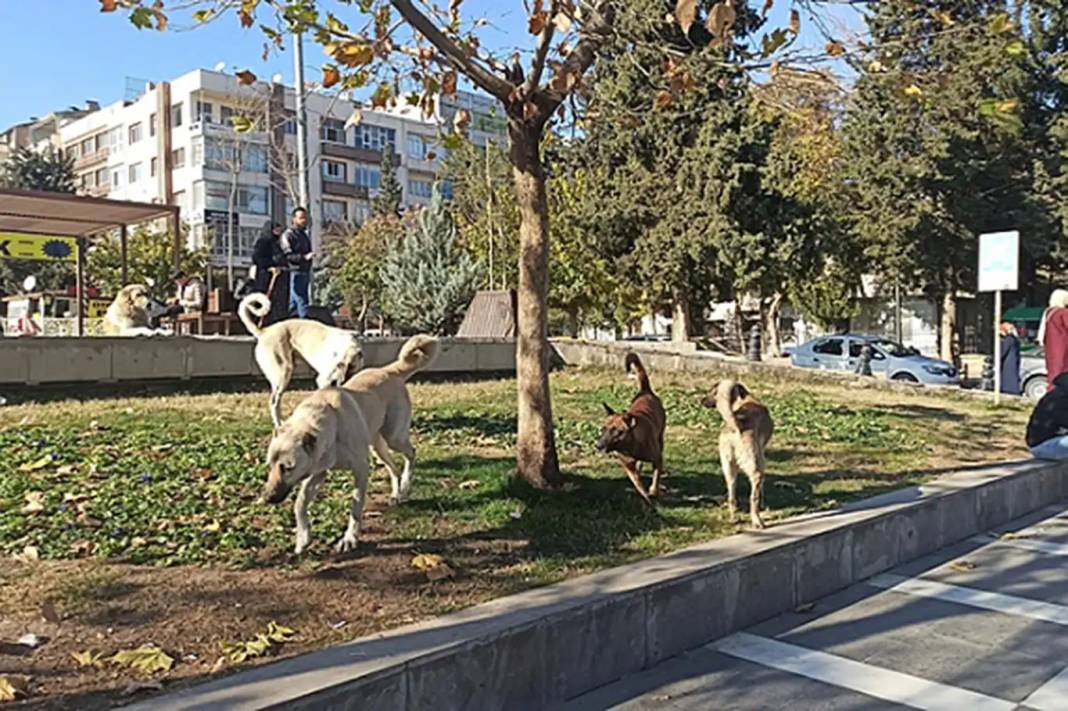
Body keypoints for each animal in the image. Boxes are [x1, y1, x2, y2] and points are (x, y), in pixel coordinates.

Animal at [237, 292, 363, 429]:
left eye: (348, 365)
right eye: (338, 364)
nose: (333, 382)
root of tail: (264, 331)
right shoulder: (324, 381)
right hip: (283, 373)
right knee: (274, 402)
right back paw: (279, 425)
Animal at [343, 333, 440, 503]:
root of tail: (389, 370)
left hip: (393, 437)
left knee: (411, 453)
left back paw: (405, 487)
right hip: (379, 446)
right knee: (394, 470)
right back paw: (396, 493)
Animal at [598, 352, 662, 501]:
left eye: (617, 431)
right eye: (603, 429)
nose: (598, 446)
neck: (630, 446)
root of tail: (645, 391)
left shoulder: (657, 459)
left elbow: (656, 476)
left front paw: (653, 491)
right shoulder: (628, 467)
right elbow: (638, 484)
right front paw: (645, 497)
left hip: (661, 436)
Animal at [700, 375, 777, 525]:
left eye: (713, 392)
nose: (702, 400)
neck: (744, 400)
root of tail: (735, 426)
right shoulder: (761, 456)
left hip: (728, 468)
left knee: (732, 497)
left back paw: (733, 518)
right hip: (754, 468)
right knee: (753, 498)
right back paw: (757, 521)